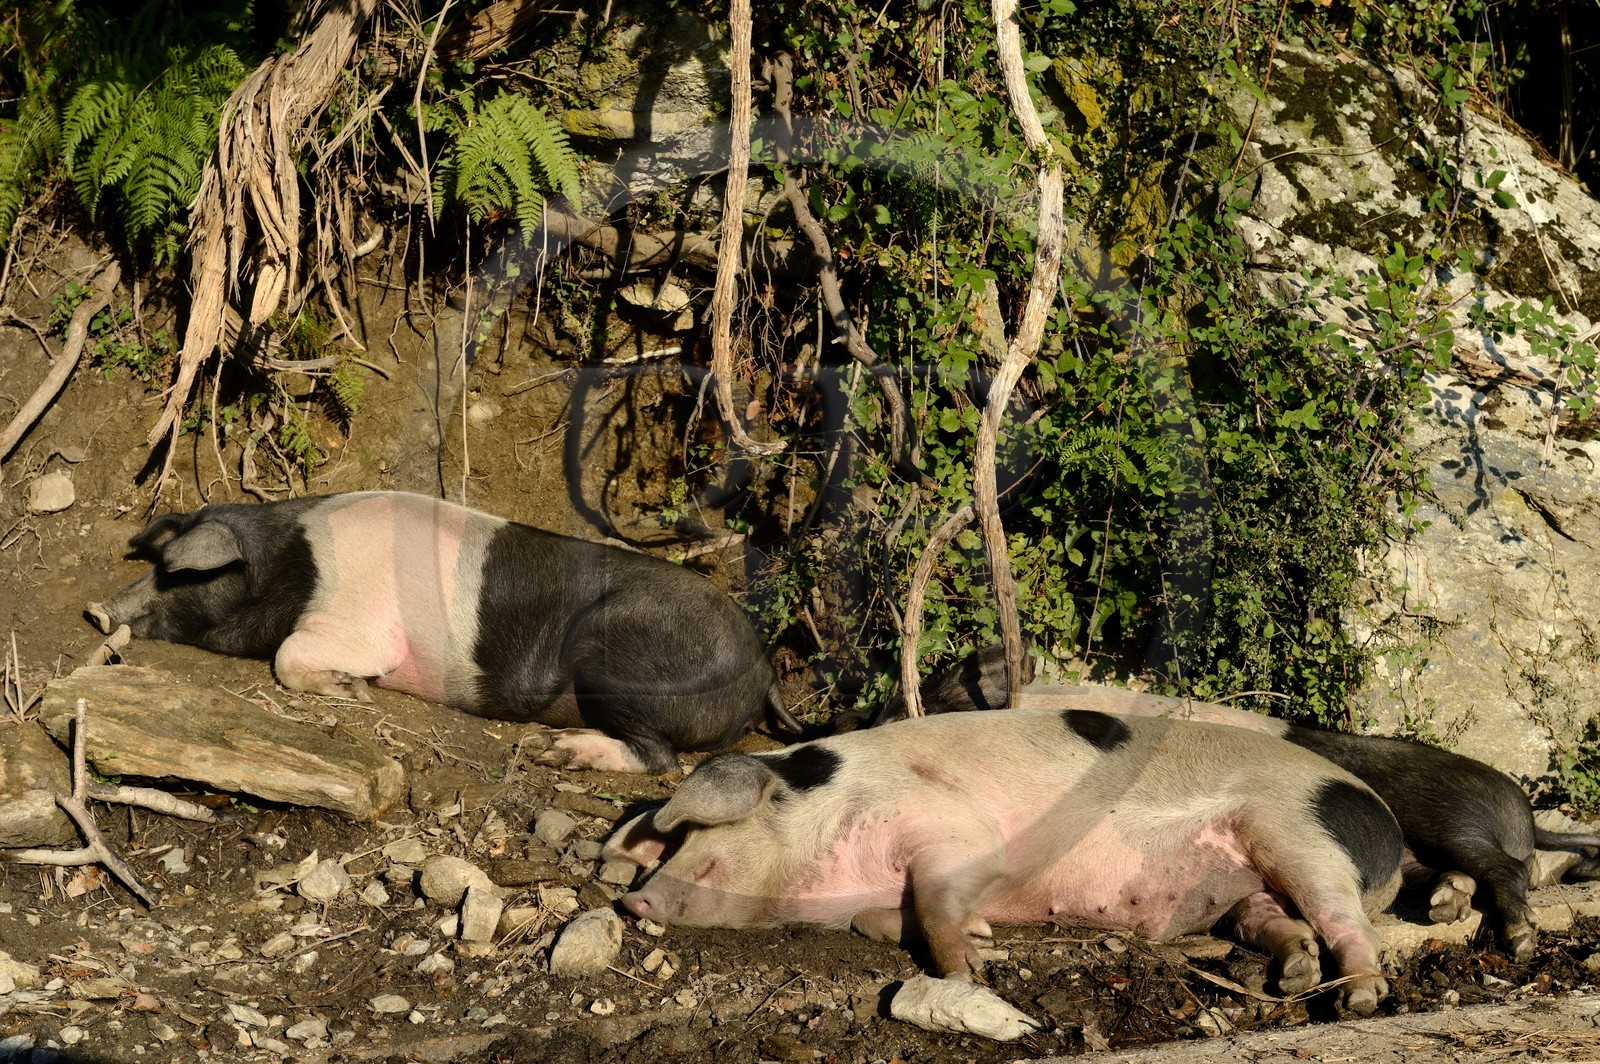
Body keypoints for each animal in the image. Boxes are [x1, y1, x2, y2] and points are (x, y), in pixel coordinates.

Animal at [87, 491, 799, 773]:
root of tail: (764, 670)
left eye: (176, 575)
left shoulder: (360, 626)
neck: (286, 568)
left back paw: (557, 752)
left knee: (661, 759)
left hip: (616, 658)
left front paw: (352, 692)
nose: (97, 610)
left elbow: (288, 657)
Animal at [605, 708, 1404, 1014]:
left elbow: (937, 898)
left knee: (1346, 923)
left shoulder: (954, 830)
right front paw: (982, 942)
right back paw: (1297, 974)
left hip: (1299, 835)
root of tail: (1389, 835)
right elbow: (885, 919)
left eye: (693, 836)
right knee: (1277, 920)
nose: (633, 898)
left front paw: (968, 971)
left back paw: (1359, 997)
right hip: (1244, 884)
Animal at [887, 647, 1600, 963]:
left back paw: (1520, 938)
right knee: (1454, 876)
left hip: (1450, 816)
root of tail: (1519, 802)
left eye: (941, 689)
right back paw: (1448, 905)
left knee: (1503, 868)